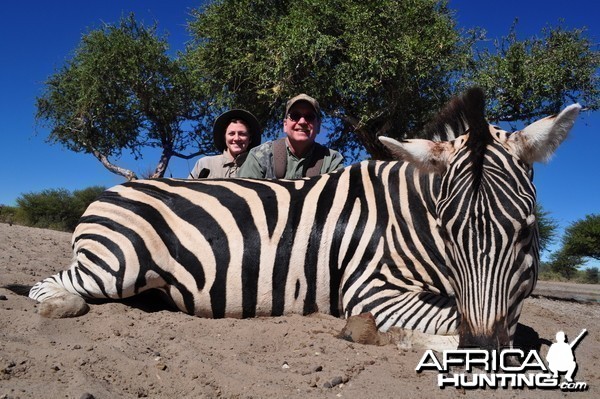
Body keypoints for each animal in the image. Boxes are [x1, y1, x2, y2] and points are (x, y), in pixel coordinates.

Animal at [25, 90, 580, 350]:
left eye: (527, 230)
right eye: (448, 230)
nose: (481, 352)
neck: (409, 222)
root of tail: (117, 188)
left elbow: (513, 327)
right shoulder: (370, 288)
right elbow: (467, 326)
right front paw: (370, 334)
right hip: (116, 263)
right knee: (49, 286)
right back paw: (60, 307)